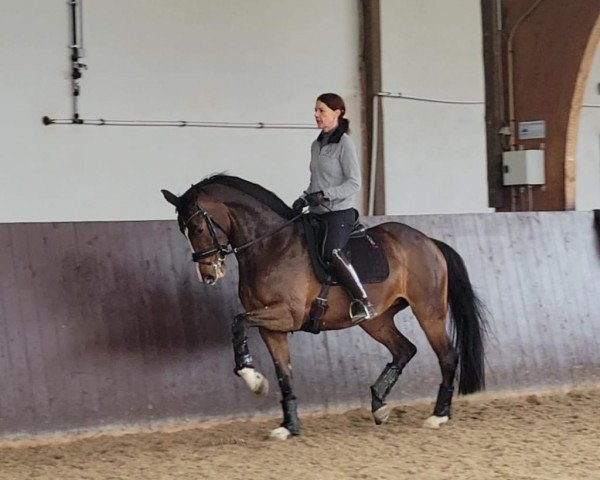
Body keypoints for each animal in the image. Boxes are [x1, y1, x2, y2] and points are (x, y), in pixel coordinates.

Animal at [163, 174, 488, 440]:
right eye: (182, 230)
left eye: (197, 227)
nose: (207, 275)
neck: (271, 246)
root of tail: (428, 241)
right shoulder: (271, 327)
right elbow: (283, 373)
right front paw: (288, 425)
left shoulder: (287, 315)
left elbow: (237, 321)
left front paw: (252, 378)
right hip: (376, 320)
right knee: (404, 350)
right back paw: (379, 405)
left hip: (428, 310)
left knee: (447, 355)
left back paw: (438, 415)